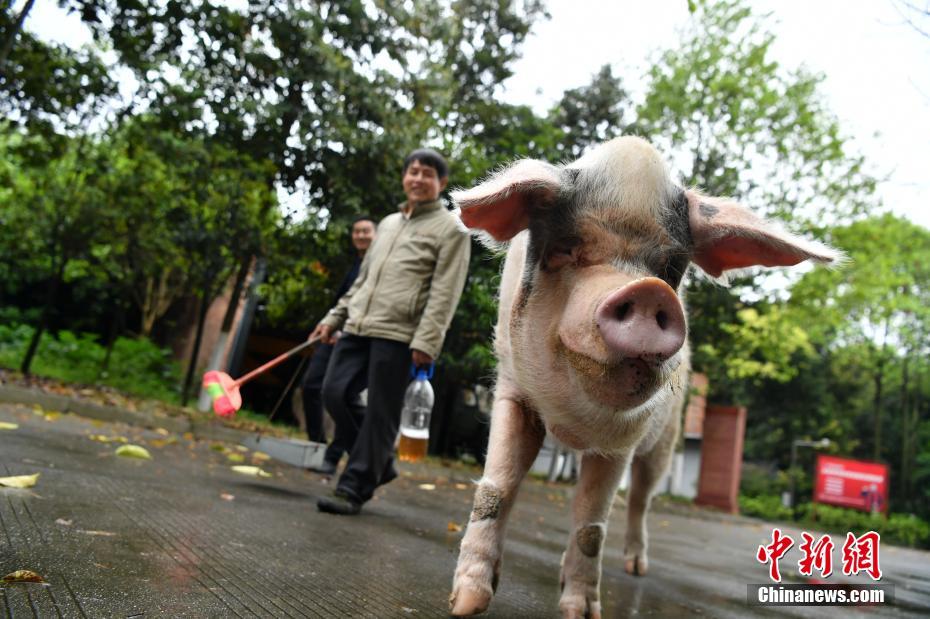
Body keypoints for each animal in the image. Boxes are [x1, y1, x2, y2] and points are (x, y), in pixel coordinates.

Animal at [446, 137, 836, 619]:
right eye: (567, 247)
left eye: (670, 269)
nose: (649, 292)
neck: (573, 420)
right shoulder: (512, 391)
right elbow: (497, 489)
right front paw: (466, 604)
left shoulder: (624, 439)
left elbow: (592, 524)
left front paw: (581, 613)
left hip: (665, 442)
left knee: (639, 499)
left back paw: (636, 569)